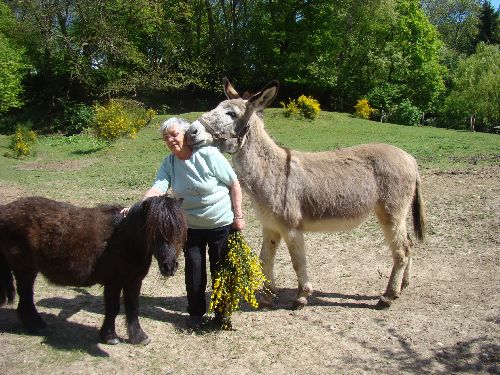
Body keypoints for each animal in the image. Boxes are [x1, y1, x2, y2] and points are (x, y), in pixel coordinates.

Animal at [0, 197, 187, 346]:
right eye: (154, 231)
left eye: (179, 230)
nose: (169, 266)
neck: (124, 239)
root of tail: (5, 211)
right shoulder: (113, 282)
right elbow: (113, 308)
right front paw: (110, 337)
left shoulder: (133, 281)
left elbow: (133, 308)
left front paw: (139, 337)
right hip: (25, 270)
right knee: (26, 296)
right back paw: (35, 325)